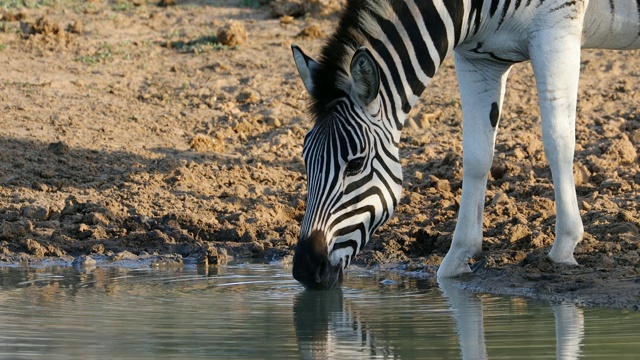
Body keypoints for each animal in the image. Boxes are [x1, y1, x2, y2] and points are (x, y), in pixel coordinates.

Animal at [290, 0, 640, 290]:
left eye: (356, 163)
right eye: (305, 158)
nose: (305, 270)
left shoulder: (557, 29)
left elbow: (557, 140)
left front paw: (565, 245)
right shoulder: (477, 58)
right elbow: (476, 155)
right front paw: (458, 256)